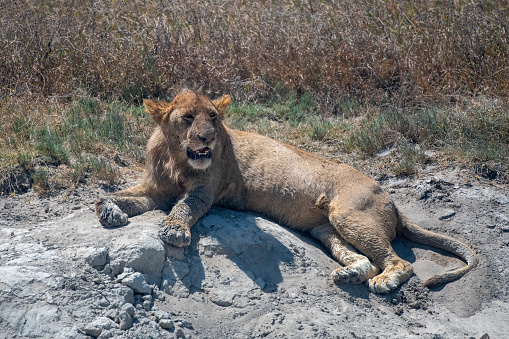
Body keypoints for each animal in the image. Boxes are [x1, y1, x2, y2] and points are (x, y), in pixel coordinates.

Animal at [94, 91, 476, 294]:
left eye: (214, 117)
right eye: (188, 117)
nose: (208, 138)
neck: (176, 158)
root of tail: (392, 199)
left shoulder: (205, 191)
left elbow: (184, 207)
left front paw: (173, 231)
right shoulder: (155, 189)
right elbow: (123, 195)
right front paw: (109, 209)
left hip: (350, 213)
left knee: (399, 262)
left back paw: (385, 281)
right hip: (327, 229)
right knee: (363, 259)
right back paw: (349, 274)